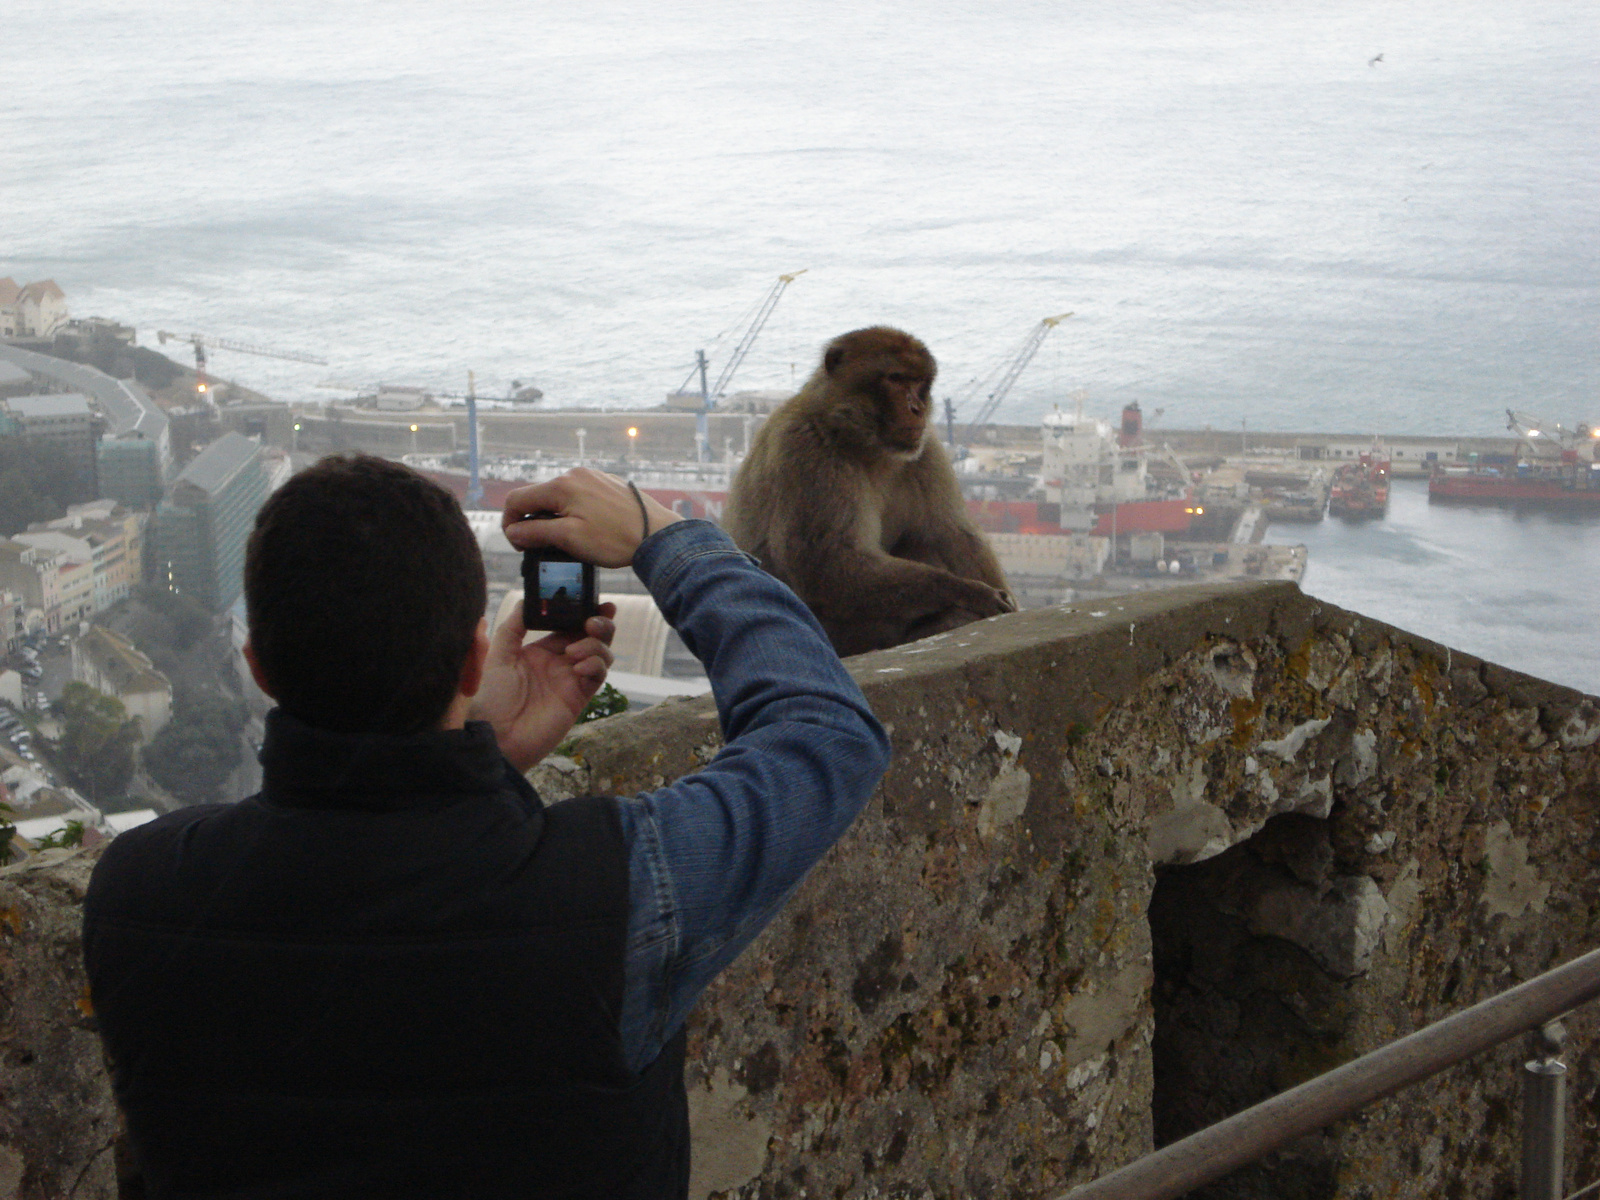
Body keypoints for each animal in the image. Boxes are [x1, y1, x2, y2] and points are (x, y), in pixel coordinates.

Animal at [723, 329, 1011, 659]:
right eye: (896, 379)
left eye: (919, 382)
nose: (917, 408)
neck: (863, 444)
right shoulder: (808, 452)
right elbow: (829, 566)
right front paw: (967, 592)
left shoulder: (924, 449)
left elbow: (953, 532)